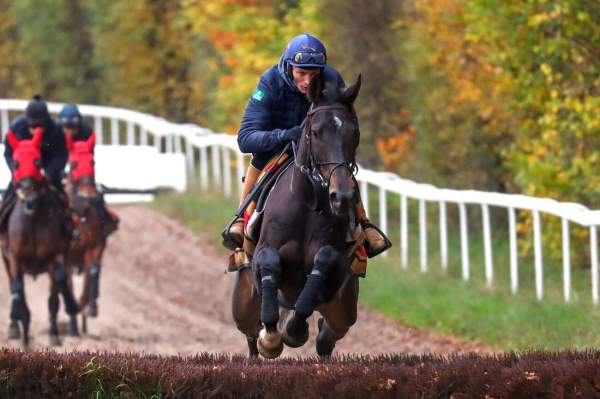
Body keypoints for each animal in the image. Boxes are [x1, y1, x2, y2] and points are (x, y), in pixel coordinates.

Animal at [1, 128, 79, 346]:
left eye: (37, 162)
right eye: (16, 163)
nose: (30, 199)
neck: (32, 220)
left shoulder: (56, 256)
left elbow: (58, 286)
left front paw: (68, 310)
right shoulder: (14, 257)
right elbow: (17, 288)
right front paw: (22, 331)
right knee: (13, 285)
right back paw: (17, 330)